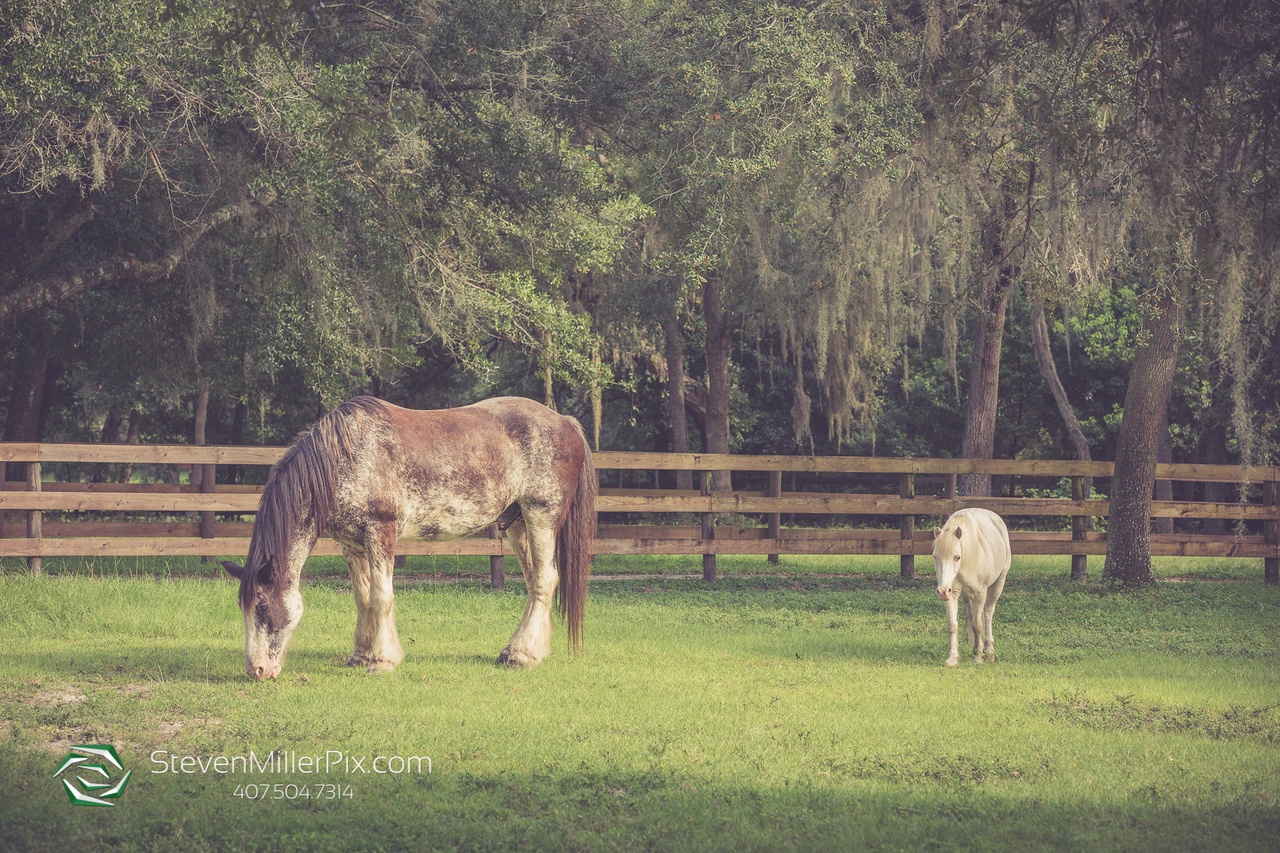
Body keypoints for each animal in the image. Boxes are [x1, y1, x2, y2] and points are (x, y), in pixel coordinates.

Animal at [222, 394, 596, 681]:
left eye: (263, 606)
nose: (256, 669)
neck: (346, 458)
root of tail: (564, 421)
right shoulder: (351, 543)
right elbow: (362, 597)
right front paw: (360, 655)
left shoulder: (381, 533)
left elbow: (381, 597)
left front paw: (382, 660)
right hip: (516, 523)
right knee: (535, 583)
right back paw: (518, 650)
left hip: (540, 516)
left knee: (545, 580)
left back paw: (523, 655)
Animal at [931, 504, 1008, 666]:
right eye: (935, 556)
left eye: (957, 557)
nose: (942, 591)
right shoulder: (952, 593)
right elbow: (952, 625)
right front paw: (952, 658)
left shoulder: (979, 594)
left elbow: (978, 625)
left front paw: (977, 656)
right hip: (966, 596)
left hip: (998, 584)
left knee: (988, 613)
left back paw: (988, 649)